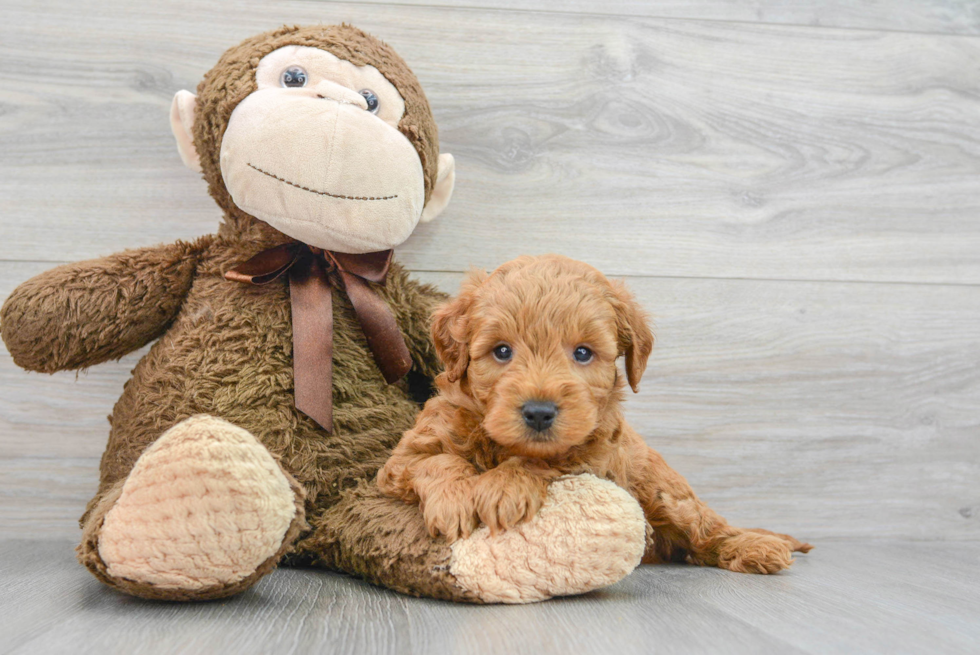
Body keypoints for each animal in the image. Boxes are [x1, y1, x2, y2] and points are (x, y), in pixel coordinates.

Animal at [378, 256, 812, 576]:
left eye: (583, 353)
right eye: (501, 351)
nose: (539, 413)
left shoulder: (595, 454)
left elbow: (544, 462)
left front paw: (504, 486)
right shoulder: (402, 459)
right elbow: (436, 462)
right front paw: (454, 500)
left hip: (665, 493)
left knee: (707, 529)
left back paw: (757, 546)